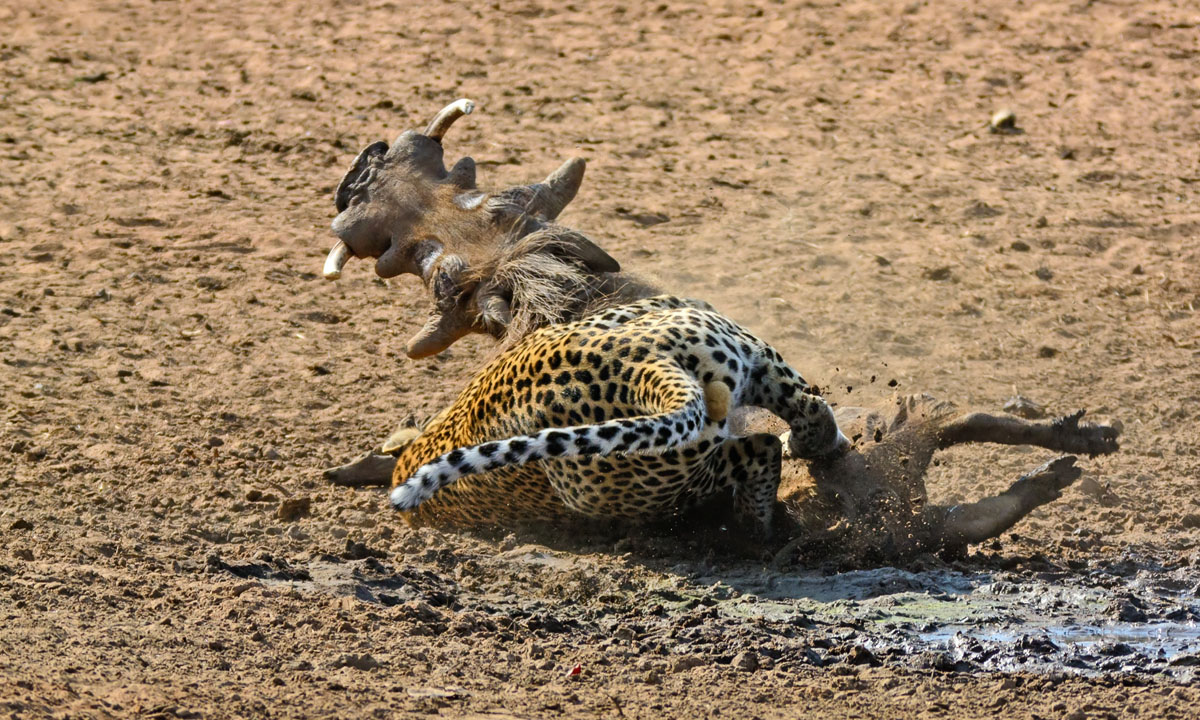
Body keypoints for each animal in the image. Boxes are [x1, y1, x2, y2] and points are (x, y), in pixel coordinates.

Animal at [387, 295, 849, 536]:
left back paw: (754, 527)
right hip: (749, 354)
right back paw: (820, 448)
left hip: (650, 489)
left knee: (760, 450)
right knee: (808, 406)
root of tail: (644, 364)